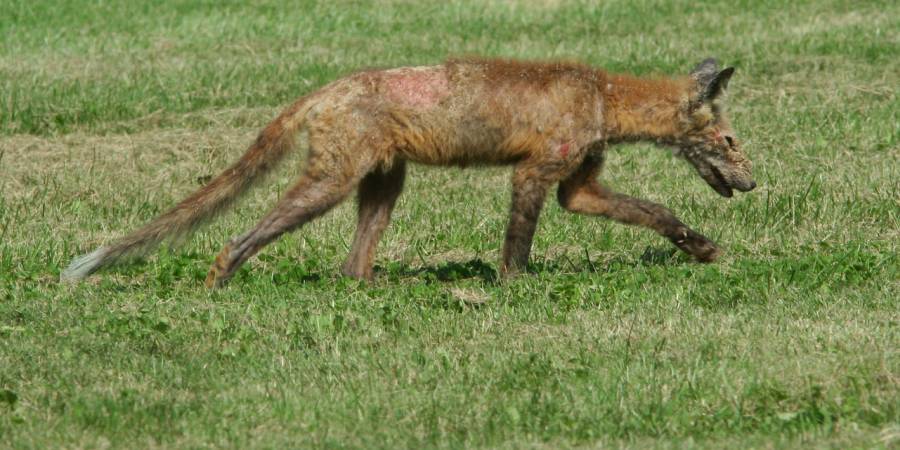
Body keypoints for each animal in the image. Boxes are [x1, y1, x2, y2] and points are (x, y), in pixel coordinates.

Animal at [59, 57, 756, 288]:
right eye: (730, 141)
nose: (752, 183)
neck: (603, 97)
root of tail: (324, 90)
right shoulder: (534, 175)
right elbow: (517, 246)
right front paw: (513, 289)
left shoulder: (577, 187)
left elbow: (659, 214)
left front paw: (702, 249)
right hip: (330, 186)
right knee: (237, 238)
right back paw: (217, 283)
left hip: (384, 187)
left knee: (351, 268)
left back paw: (375, 288)